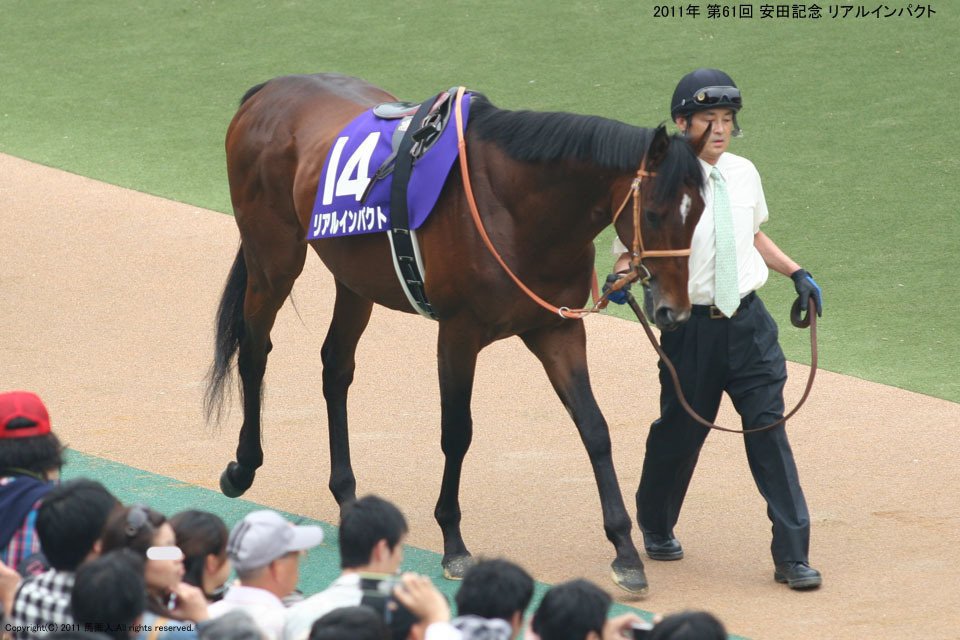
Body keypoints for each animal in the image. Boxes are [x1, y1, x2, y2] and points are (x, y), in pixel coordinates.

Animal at [205, 73, 706, 593]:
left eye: (701, 212)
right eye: (654, 214)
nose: (674, 310)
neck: (516, 208)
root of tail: (268, 89)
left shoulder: (556, 329)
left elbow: (594, 428)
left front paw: (625, 551)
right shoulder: (458, 334)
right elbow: (457, 432)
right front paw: (454, 543)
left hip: (354, 277)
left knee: (336, 367)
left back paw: (349, 498)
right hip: (273, 258)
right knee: (254, 349)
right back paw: (243, 467)